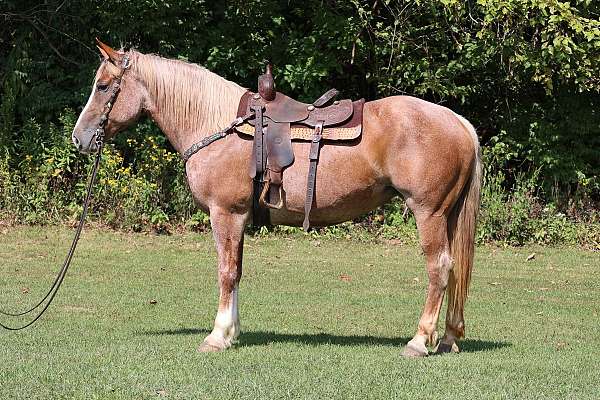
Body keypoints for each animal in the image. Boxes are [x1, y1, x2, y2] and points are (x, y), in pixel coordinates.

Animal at [71, 40, 482, 358]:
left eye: (104, 86)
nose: (79, 137)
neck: (216, 124)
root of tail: (458, 122)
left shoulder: (225, 214)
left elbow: (226, 272)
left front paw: (217, 336)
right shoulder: (237, 217)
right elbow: (236, 271)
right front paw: (232, 332)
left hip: (428, 213)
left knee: (439, 268)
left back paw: (419, 340)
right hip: (447, 215)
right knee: (454, 270)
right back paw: (448, 339)